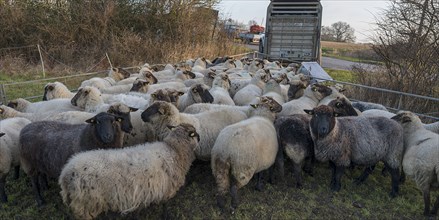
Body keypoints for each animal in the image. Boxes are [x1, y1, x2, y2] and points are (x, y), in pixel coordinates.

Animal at [59, 123, 200, 219]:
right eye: (194, 133)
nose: (199, 138)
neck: (174, 149)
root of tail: (65, 173)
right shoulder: (166, 190)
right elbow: (165, 206)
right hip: (86, 204)